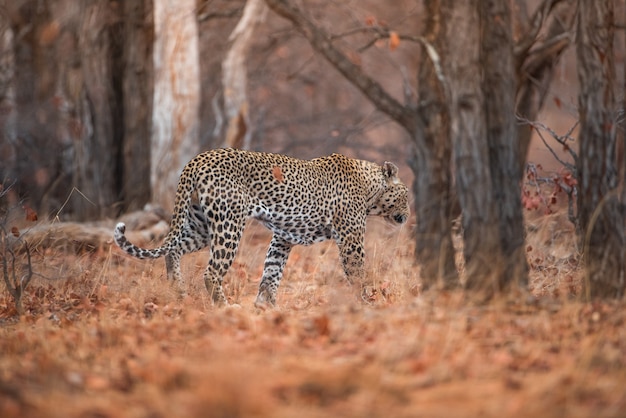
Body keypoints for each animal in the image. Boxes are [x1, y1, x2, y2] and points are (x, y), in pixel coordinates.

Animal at [115, 147, 410, 306]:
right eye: (406, 195)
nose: (407, 215)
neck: (371, 189)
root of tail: (198, 159)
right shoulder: (351, 239)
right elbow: (357, 272)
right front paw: (365, 302)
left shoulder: (283, 238)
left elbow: (272, 272)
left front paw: (265, 308)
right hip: (229, 223)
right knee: (211, 272)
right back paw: (225, 308)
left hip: (200, 224)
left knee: (172, 249)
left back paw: (178, 290)